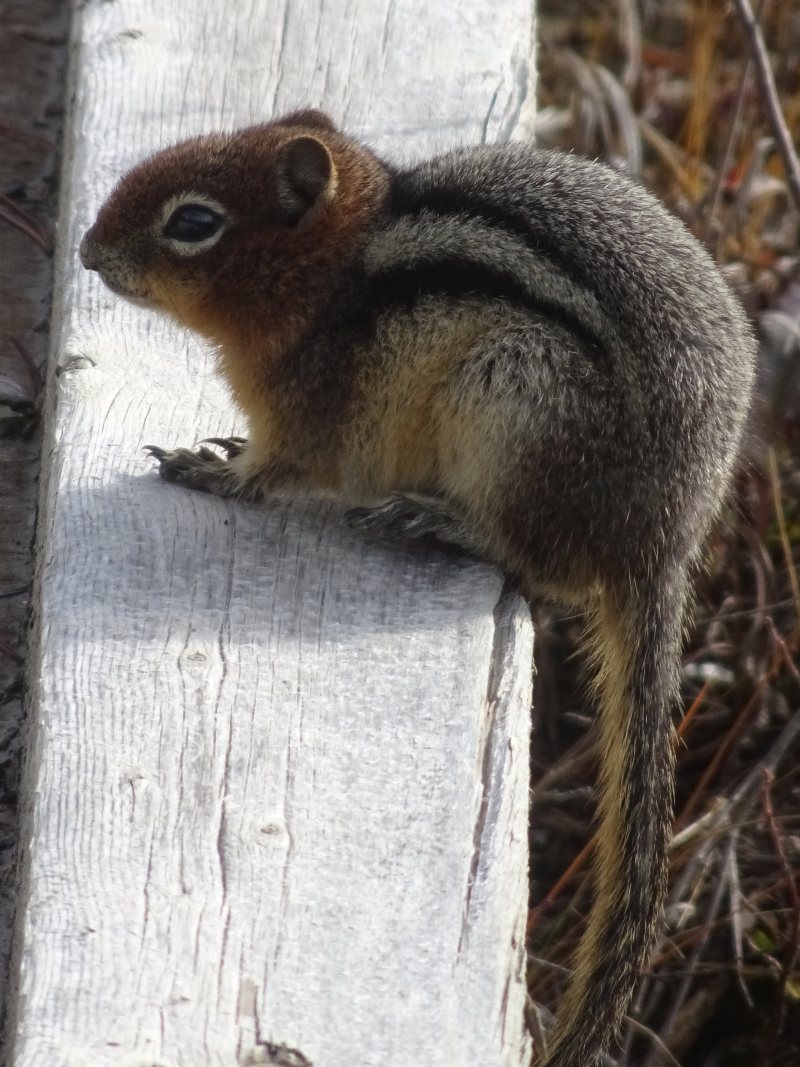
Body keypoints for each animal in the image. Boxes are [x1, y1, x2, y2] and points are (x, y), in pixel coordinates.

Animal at [80, 108, 759, 1067]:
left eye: (194, 222)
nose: (88, 250)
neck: (331, 274)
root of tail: (663, 541)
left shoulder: (306, 420)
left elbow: (270, 471)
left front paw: (207, 469)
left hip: (518, 401)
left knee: (543, 563)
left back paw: (437, 517)